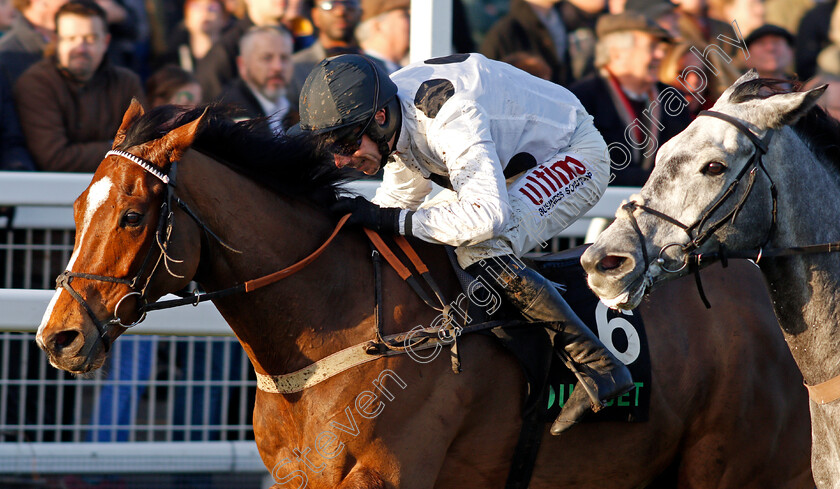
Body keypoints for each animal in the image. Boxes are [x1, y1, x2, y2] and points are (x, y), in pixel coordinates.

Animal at [34, 101, 812, 486]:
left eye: (133, 215)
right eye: (74, 208)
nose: (58, 336)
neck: (334, 330)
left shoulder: (385, 475)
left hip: (740, 468)